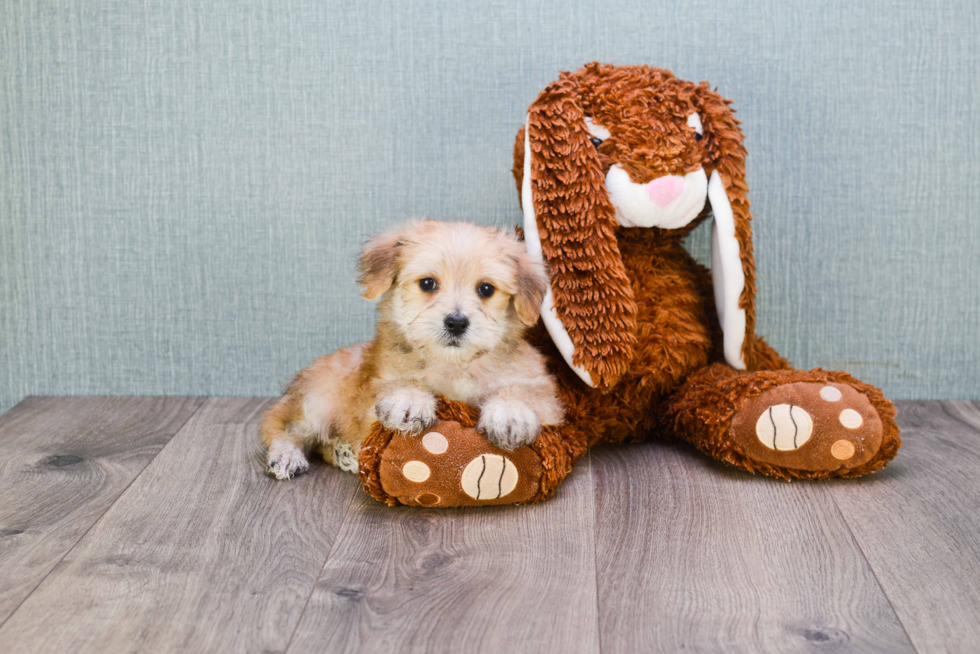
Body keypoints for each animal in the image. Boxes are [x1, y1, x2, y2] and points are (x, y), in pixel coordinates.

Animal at [260, 220, 564, 482]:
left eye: (486, 289)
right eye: (427, 283)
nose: (456, 322)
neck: (454, 366)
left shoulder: (547, 398)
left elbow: (522, 392)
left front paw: (510, 414)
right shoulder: (371, 407)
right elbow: (400, 383)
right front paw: (410, 400)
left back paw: (342, 452)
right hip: (316, 402)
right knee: (280, 426)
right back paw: (287, 456)